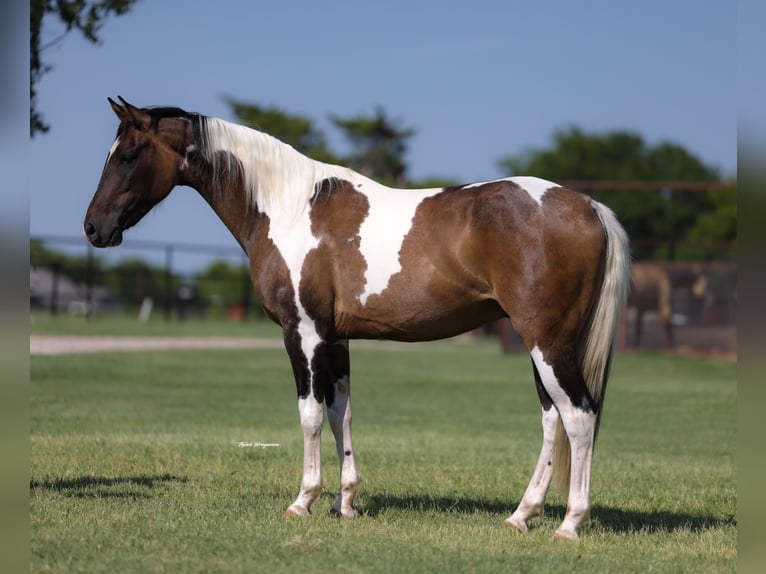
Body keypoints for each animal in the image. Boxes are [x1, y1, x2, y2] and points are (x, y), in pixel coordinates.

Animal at [84, 97, 630, 541]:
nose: (93, 228)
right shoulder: (335, 339)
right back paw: (521, 515)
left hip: (547, 341)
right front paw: (344, 503)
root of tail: (588, 205)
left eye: (127, 156)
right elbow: (339, 413)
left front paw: (303, 501)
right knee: (553, 420)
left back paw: (569, 525)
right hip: (543, 346)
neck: (289, 208)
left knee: (578, 416)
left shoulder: (302, 334)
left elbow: (308, 414)